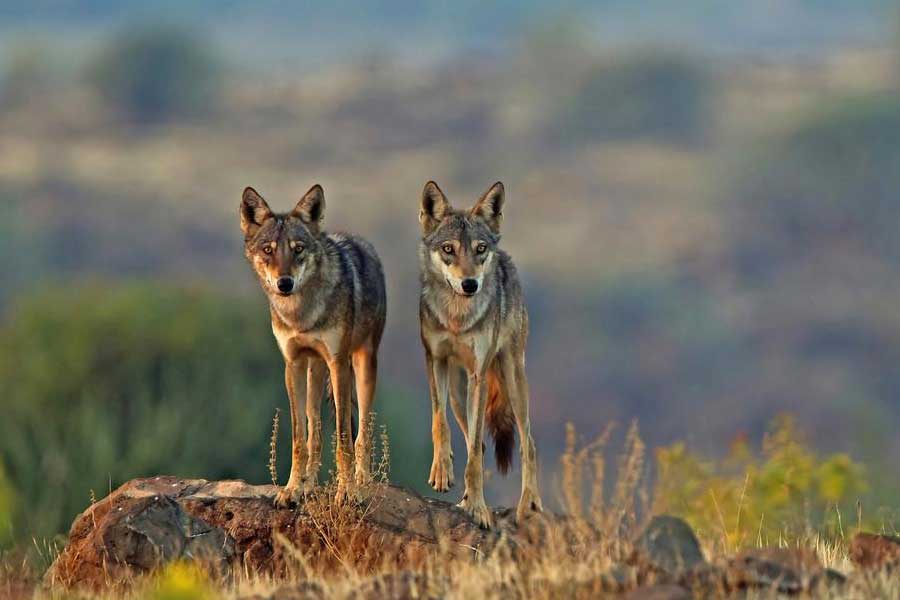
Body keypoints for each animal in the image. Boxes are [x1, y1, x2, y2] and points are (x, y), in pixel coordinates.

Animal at [240, 184, 386, 506]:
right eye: (268, 250)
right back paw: (308, 485)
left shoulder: (338, 363)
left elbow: (343, 436)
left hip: (362, 366)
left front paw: (347, 492)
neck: (302, 314)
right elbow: (299, 437)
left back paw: (363, 481)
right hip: (313, 372)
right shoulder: (292, 364)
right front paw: (293, 489)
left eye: (298, 249)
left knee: (362, 433)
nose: (284, 283)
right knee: (315, 433)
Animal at [417, 180, 543, 528]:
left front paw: (479, 509)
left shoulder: (479, 375)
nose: (470, 284)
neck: (457, 317)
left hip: (512, 381)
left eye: (480, 249)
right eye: (448, 249)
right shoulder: (435, 361)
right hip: (459, 394)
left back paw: (529, 505)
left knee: (528, 443)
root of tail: (507, 259)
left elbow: (473, 451)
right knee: (483, 444)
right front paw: (442, 473)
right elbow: (440, 423)